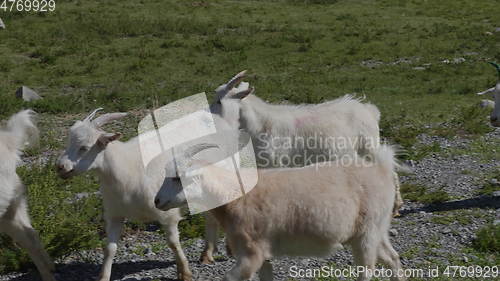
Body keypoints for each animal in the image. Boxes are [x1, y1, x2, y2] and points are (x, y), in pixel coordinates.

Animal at [56, 110, 199, 280]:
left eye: (84, 147)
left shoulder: (167, 213)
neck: (126, 168)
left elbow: (173, 243)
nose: (60, 167)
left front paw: (184, 272)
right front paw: (103, 276)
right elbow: (109, 249)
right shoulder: (115, 214)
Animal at [154, 143, 404, 280]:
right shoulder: (263, 253)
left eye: (177, 178)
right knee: (393, 258)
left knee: (367, 270)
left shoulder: (251, 252)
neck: (235, 194)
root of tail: (382, 168)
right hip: (375, 229)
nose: (157, 201)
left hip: (367, 234)